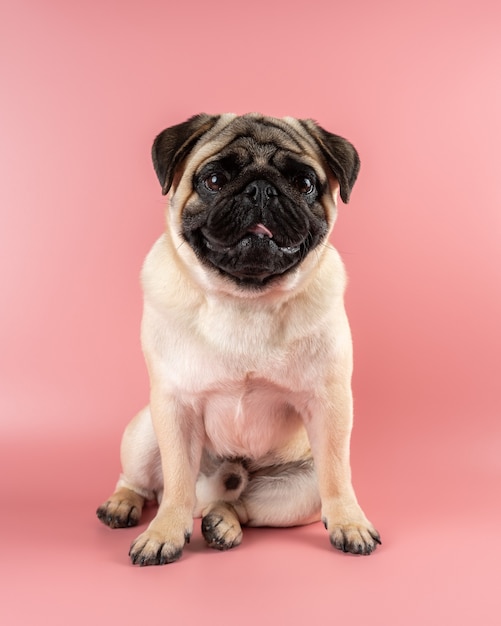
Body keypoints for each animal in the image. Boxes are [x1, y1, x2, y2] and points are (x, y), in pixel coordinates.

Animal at [96, 113, 378, 564]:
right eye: (214, 179)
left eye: (303, 183)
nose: (260, 189)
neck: (245, 301)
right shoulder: (174, 407)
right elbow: (175, 484)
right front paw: (164, 533)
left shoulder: (330, 405)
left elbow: (338, 475)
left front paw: (350, 523)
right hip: (145, 431)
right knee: (145, 482)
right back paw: (124, 504)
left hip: (299, 491)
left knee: (242, 504)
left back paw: (222, 523)